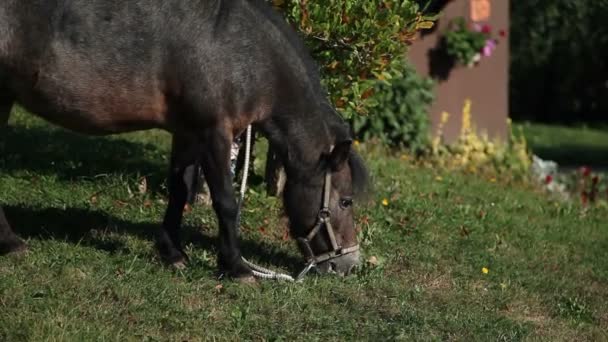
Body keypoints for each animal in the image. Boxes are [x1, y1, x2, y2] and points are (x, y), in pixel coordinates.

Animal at [0, 0, 368, 280]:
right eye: (346, 201)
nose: (349, 264)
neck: (239, 51)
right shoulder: (215, 132)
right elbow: (226, 202)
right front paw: (236, 267)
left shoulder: (188, 133)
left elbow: (179, 191)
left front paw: (172, 252)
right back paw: (12, 243)